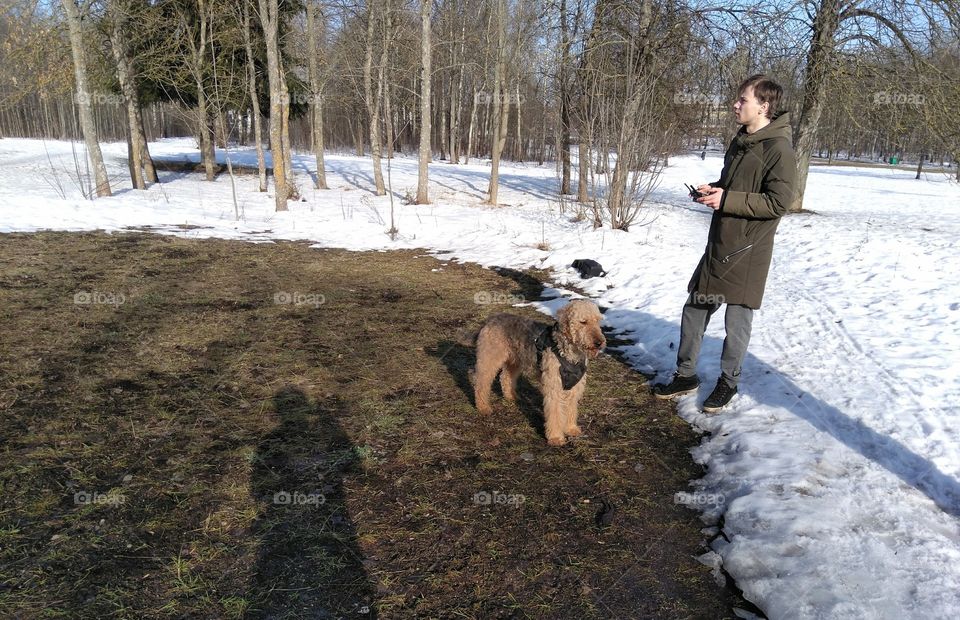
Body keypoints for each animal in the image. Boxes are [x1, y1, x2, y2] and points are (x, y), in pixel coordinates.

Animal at [474, 300, 604, 446]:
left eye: (598, 321)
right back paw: (483, 407)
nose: (599, 343)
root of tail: (490, 319)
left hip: (515, 360)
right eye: (583, 322)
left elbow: (571, 409)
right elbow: (555, 413)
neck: (568, 353)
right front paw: (556, 437)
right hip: (489, 359)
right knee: (480, 383)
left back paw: (511, 396)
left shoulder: (574, 387)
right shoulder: (553, 387)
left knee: (505, 376)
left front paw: (571, 429)